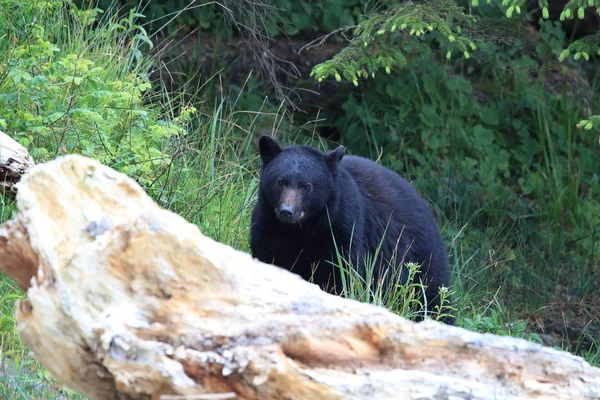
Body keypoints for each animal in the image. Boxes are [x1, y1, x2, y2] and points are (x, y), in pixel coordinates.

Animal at [250, 135, 454, 324]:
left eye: (306, 186)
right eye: (280, 182)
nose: (287, 211)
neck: (302, 228)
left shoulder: (341, 227)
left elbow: (342, 272)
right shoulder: (268, 225)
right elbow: (268, 258)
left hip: (421, 258)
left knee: (432, 297)